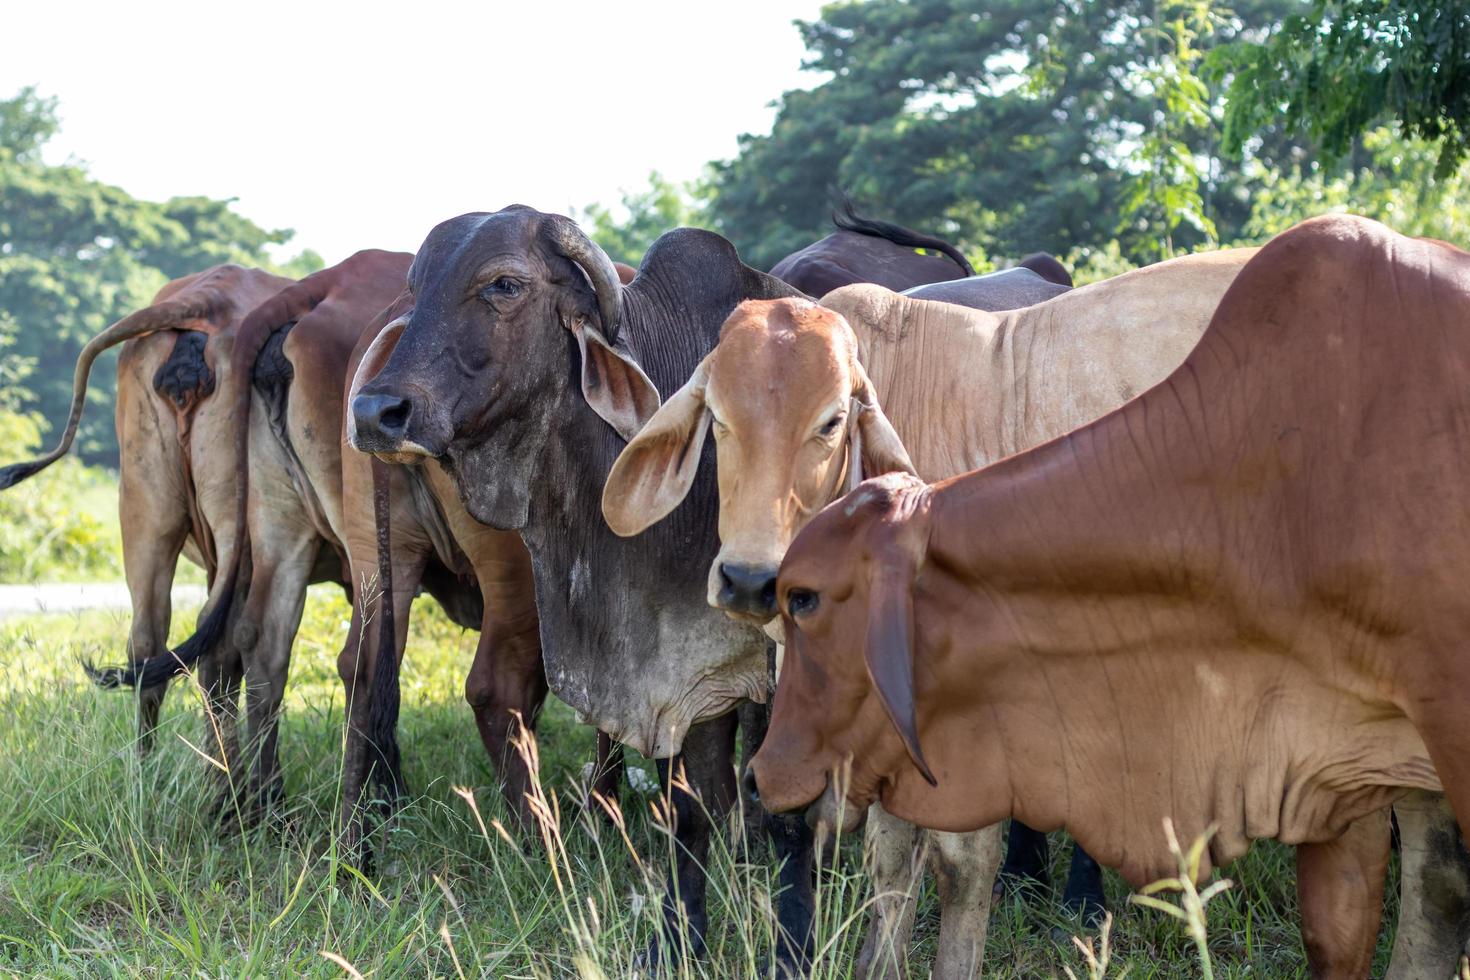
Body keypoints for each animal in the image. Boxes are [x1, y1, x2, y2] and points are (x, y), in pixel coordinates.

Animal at [351, 208, 823, 975]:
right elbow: (690, 804)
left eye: (504, 284)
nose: (374, 411)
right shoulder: (687, 672)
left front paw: (792, 950)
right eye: (416, 286)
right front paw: (679, 941)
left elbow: (783, 806)